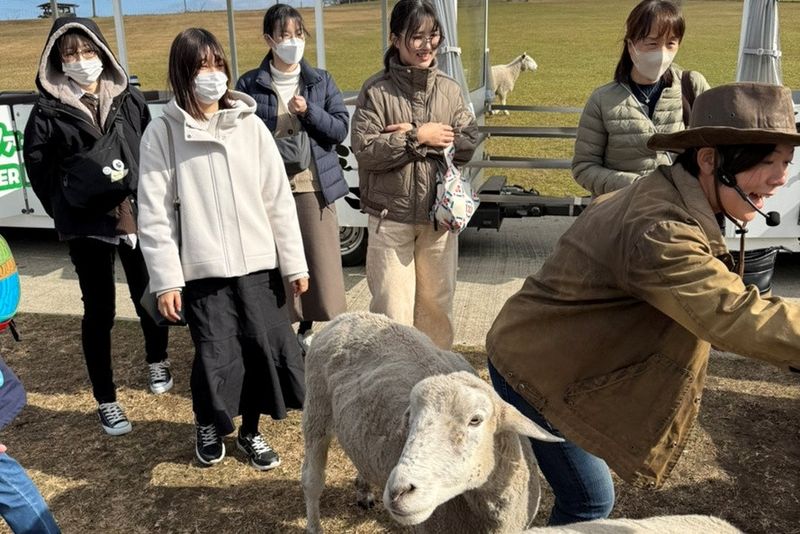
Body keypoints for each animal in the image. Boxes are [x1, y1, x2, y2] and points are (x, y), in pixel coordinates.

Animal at [301, 311, 562, 534]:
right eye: (410, 419)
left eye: (475, 420)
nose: (397, 492)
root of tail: (347, 316)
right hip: (316, 410)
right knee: (312, 481)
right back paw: (314, 523)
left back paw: (364, 490)